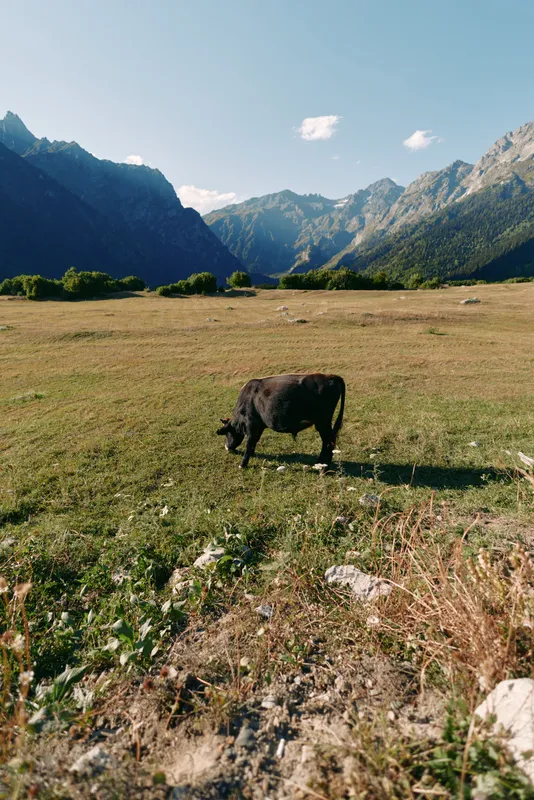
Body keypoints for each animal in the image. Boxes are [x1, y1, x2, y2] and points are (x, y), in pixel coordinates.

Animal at [216, 373, 345, 469]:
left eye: (228, 433)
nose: (227, 447)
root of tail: (331, 376)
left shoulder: (251, 424)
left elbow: (249, 442)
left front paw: (243, 464)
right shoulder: (259, 426)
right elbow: (254, 441)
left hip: (323, 422)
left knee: (328, 441)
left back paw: (323, 465)